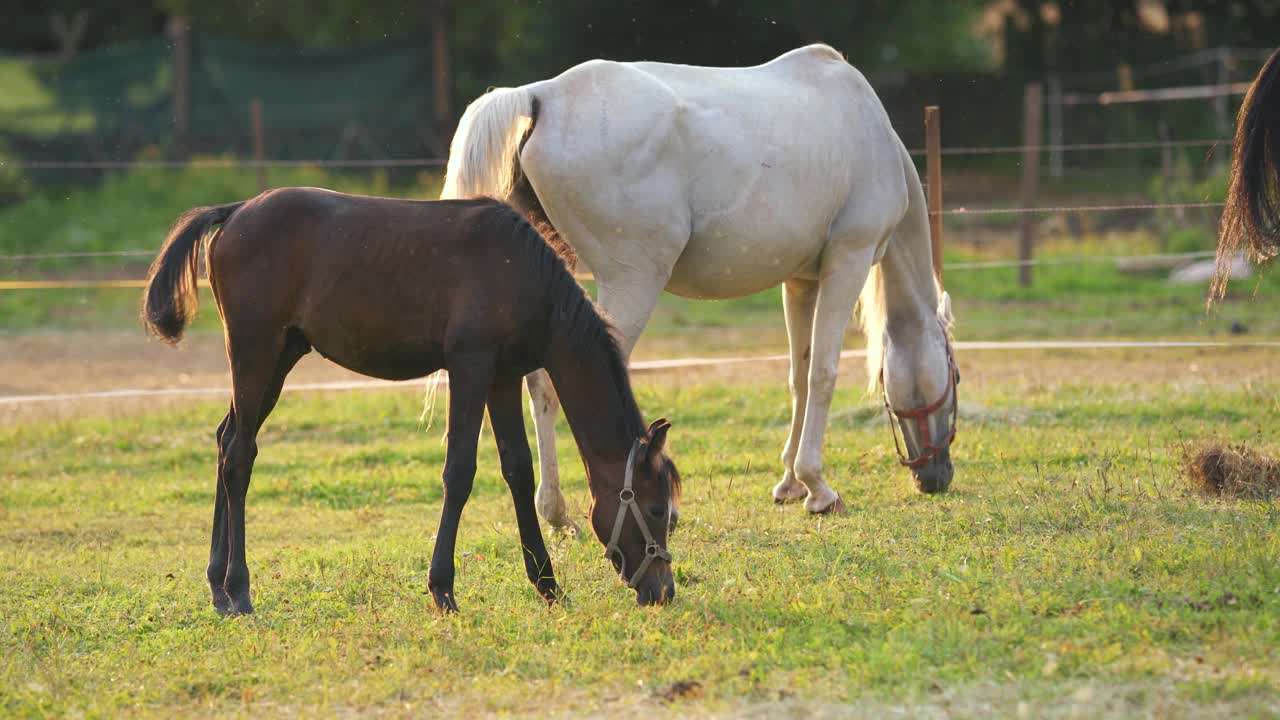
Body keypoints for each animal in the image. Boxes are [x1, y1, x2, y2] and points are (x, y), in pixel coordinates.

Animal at [445, 46, 957, 527]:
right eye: (955, 377)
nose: (936, 478)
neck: (864, 126)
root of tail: (543, 94)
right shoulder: (847, 263)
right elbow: (824, 374)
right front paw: (818, 488)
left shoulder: (800, 283)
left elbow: (799, 375)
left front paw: (790, 483)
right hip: (633, 284)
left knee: (538, 386)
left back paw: (554, 512)